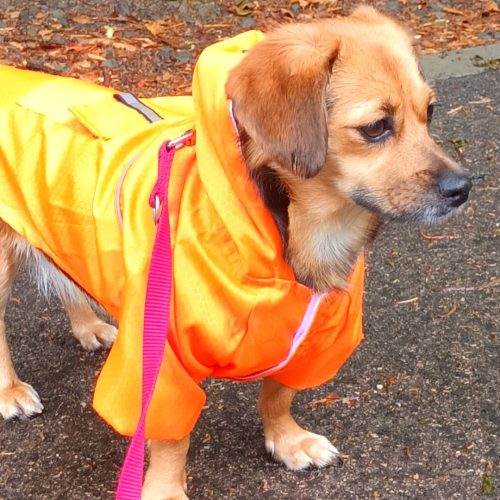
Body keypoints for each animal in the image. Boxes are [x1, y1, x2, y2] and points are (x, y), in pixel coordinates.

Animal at [0, 4, 470, 500]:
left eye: (430, 112)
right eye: (376, 127)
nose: (463, 188)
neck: (302, 234)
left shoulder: (310, 342)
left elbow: (279, 394)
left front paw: (286, 440)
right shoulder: (162, 364)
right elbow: (172, 440)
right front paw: (166, 489)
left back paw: (88, 325)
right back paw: (10, 391)